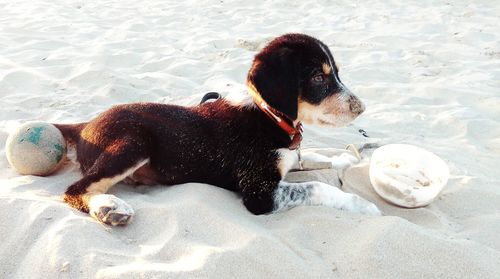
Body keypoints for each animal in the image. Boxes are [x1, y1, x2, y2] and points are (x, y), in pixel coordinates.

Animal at [54, 32, 378, 226]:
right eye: (318, 79)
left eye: (336, 74)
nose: (361, 108)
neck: (268, 115)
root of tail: (85, 125)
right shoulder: (259, 194)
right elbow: (316, 186)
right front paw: (362, 205)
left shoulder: (288, 157)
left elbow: (312, 156)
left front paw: (344, 159)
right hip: (134, 141)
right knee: (75, 190)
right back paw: (108, 206)